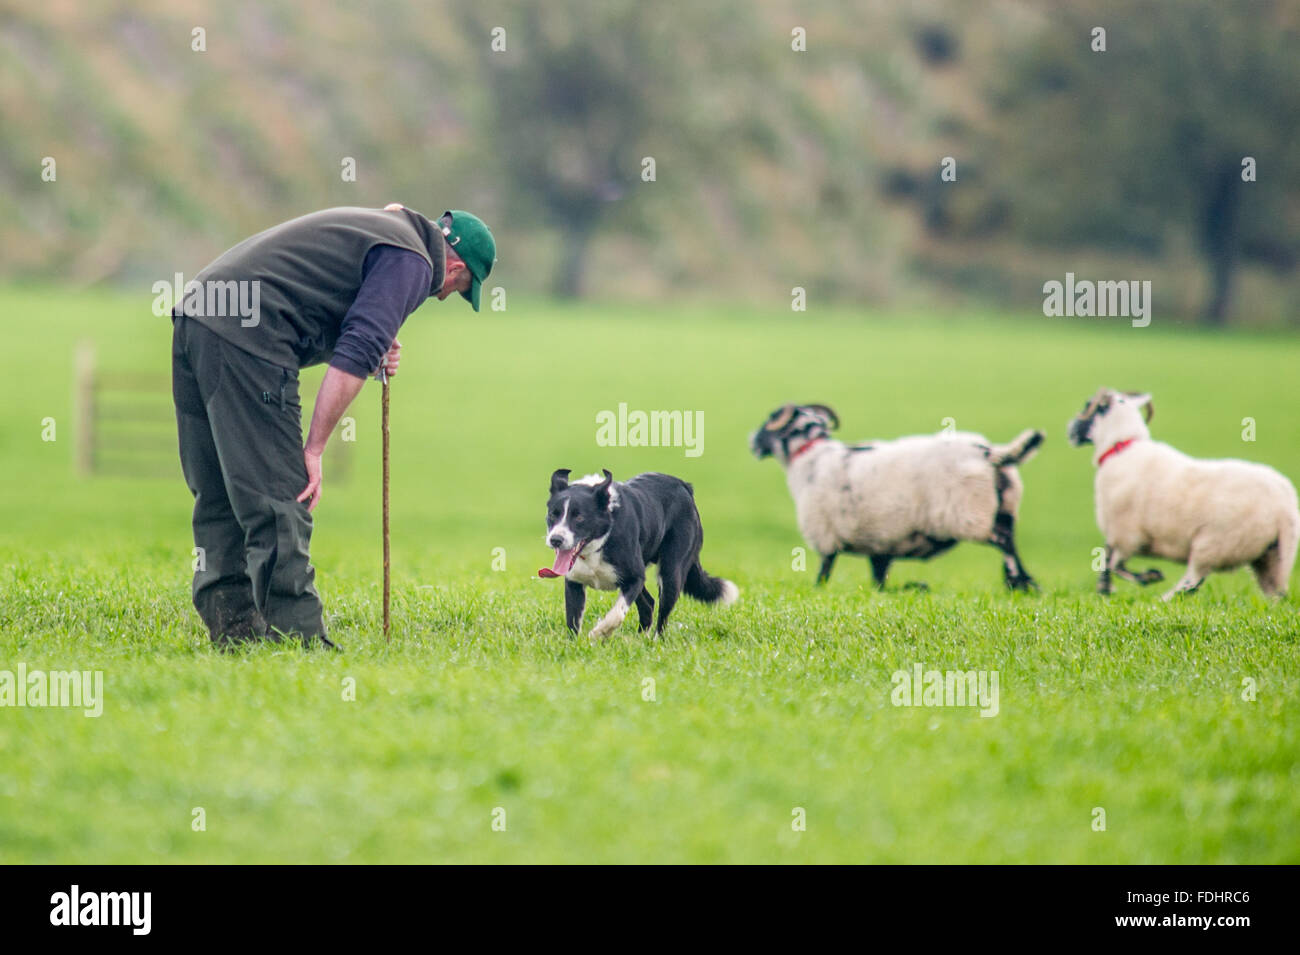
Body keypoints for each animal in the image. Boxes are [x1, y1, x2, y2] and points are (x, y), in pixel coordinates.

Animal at [754, 402, 1045, 589]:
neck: (812, 455)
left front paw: (818, 590)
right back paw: (1024, 584)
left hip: (969, 515)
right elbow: (878, 577)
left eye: (769, 422)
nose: (752, 442)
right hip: (1004, 509)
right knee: (1010, 539)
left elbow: (824, 571)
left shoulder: (827, 535)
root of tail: (989, 452)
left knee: (1004, 542)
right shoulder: (880, 541)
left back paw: (1018, 581)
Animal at [1066, 387, 1300, 597]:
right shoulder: (1119, 536)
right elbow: (1106, 561)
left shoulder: (1127, 535)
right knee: (1276, 594)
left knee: (1192, 581)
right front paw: (1105, 589)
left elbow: (1115, 565)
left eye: (1088, 405)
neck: (1121, 447)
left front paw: (1149, 576)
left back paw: (1163, 600)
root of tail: (1284, 507)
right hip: (1271, 558)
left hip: (1214, 545)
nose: (1070, 430)